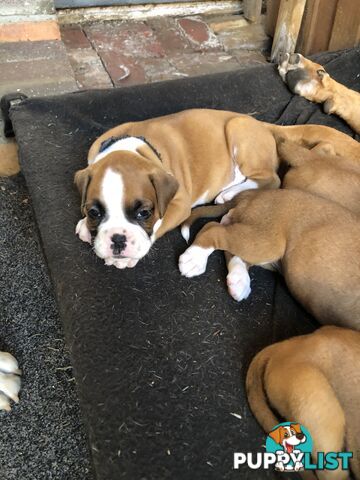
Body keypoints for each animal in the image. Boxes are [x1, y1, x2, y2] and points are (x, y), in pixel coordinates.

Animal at [74, 108, 360, 270]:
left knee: (271, 178)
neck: (133, 147)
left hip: (237, 130)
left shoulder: (179, 205)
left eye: (144, 213)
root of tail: (263, 125)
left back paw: (229, 193)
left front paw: (128, 256)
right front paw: (85, 228)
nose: (117, 240)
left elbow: (158, 227)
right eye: (94, 213)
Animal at [180, 188, 360, 330]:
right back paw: (194, 259)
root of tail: (257, 193)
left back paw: (239, 281)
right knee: (213, 229)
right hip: (266, 241)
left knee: (231, 246)